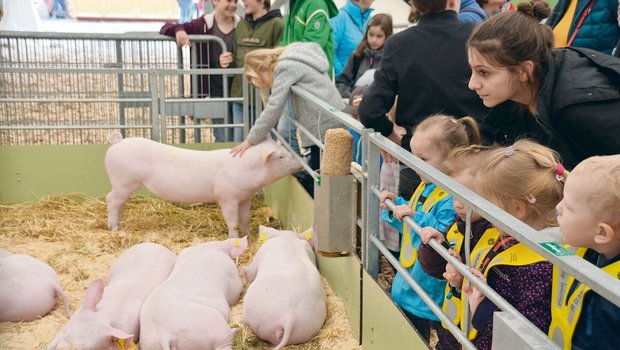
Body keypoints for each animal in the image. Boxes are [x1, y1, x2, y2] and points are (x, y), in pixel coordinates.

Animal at [104, 133, 302, 239]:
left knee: (119, 203)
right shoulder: (227, 197)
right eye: (281, 156)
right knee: (111, 200)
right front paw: (234, 237)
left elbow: (245, 218)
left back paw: (119, 224)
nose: (300, 163)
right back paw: (113, 227)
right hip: (123, 181)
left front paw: (247, 235)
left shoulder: (246, 197)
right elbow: (232, 220)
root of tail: (118, 142)